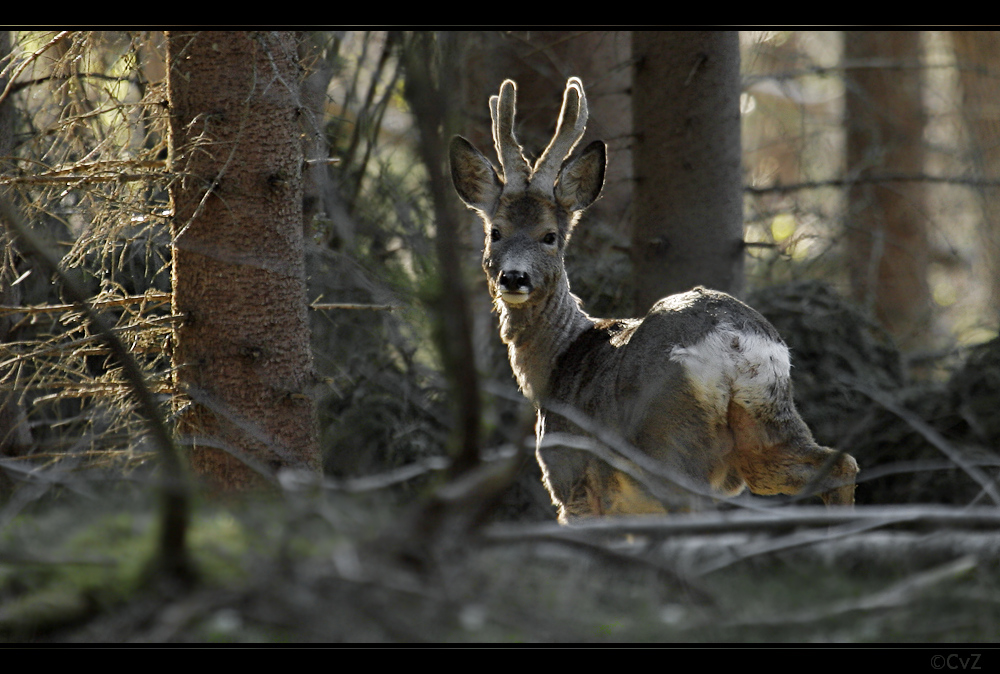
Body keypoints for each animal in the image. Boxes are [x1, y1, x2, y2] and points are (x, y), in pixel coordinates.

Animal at [450, 77, 856, 520]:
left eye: (550, 236)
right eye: (496, 232)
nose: (514, 277)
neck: (556, 361)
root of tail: (731, 341)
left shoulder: (571, 480)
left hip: (668, 437)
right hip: (767, 419)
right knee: (840, 464)